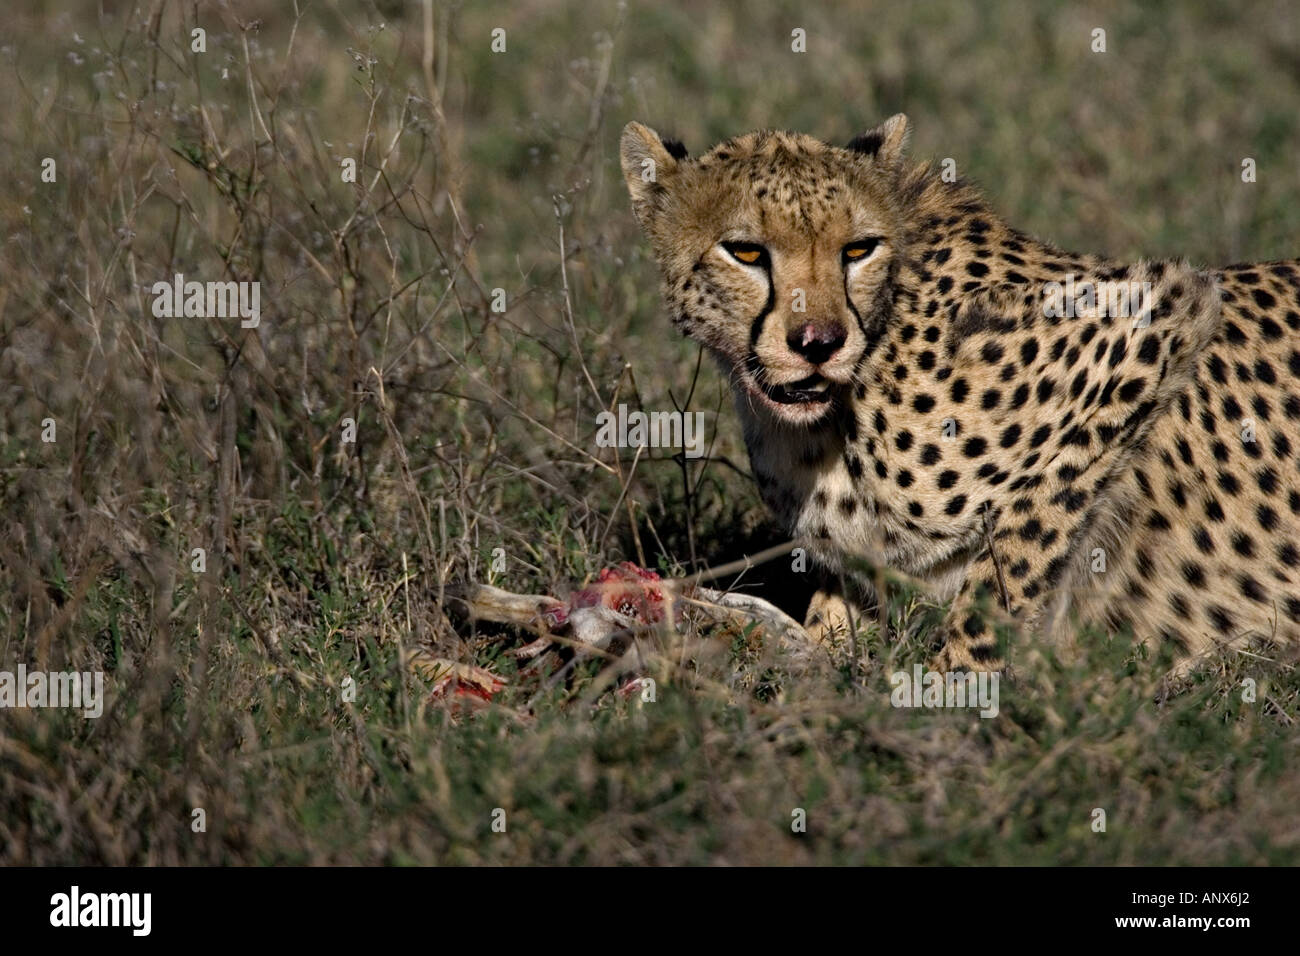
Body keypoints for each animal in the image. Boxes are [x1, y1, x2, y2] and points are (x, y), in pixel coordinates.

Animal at [620, 113, 1300, 676]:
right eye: (745, 251)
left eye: (858, 248)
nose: (819, 342)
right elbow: (834, 623)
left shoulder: (1161, 315)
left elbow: (1003, 571)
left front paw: (955, 695)